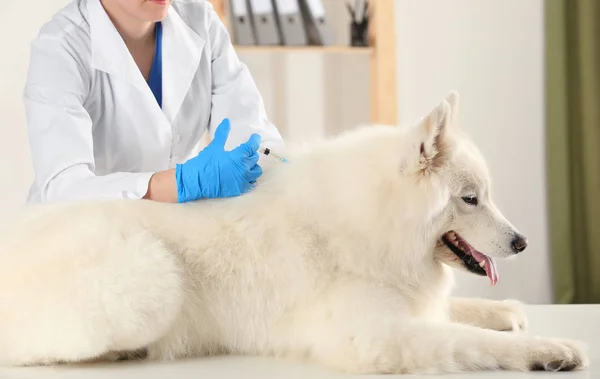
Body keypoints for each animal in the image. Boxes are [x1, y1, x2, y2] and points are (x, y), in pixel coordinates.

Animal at [0, 93, 588, 374]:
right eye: (471, 200)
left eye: (486, 196)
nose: (522, 242)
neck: (372, 222)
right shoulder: (378, 337)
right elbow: (472, 341)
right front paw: (551, 349)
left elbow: (460, 312)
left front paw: (506, 311)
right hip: (152, 283)